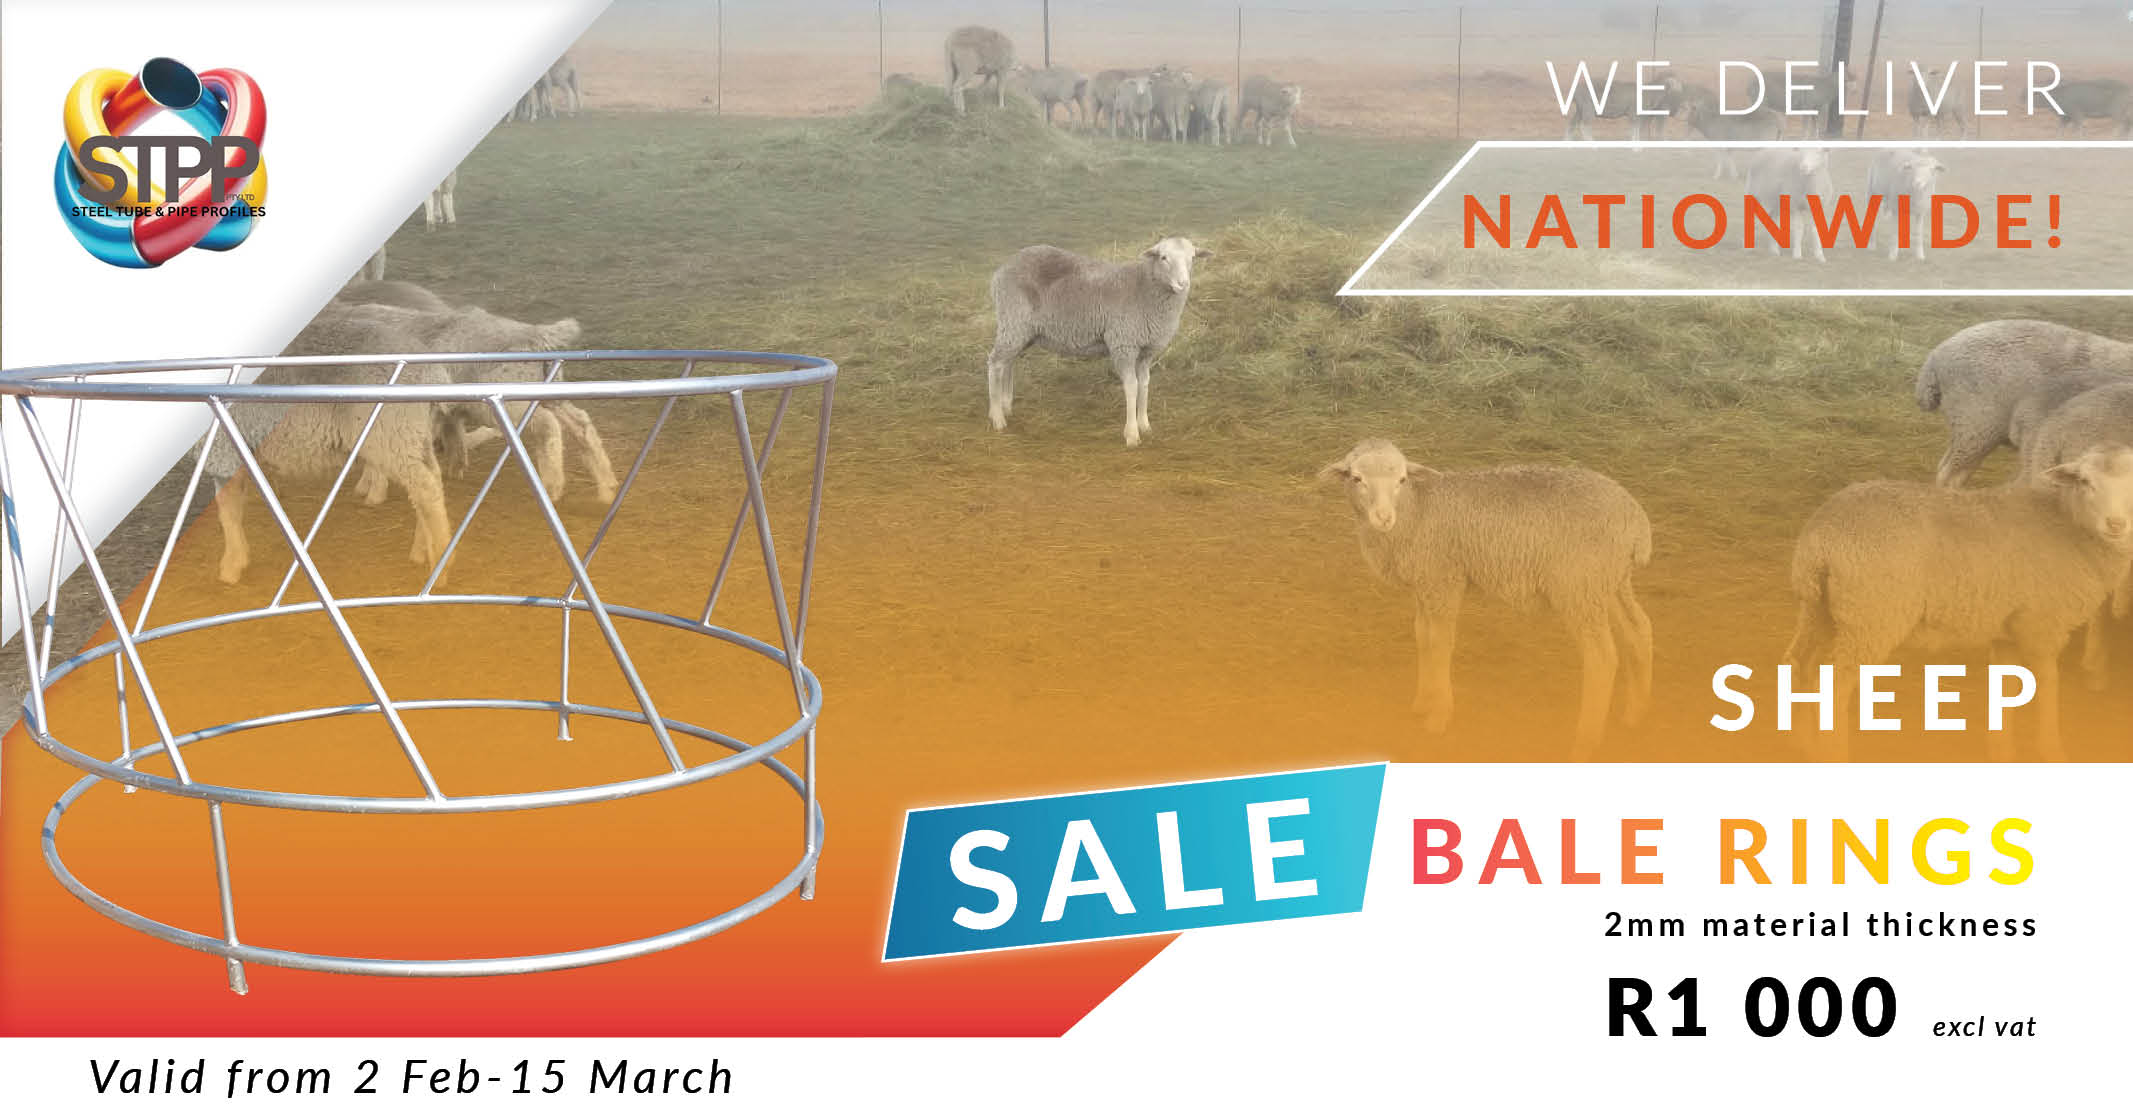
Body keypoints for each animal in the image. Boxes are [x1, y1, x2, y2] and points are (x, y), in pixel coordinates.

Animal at [986, 236, 1211, 447]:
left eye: (1192, 258)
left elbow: (1145, 384)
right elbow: (1132, 386)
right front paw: (1131, 434)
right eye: (1164, 257)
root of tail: (1002, 269)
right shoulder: (1123, 344)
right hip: (1014, 319)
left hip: (1022, 330)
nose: (1183, 284)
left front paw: (1145, 425)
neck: (1145, 288)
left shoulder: (1147, 350)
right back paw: (997, 417)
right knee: (995, 363)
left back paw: (1006, 406)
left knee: (1008, 362)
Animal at [1317, 440, 1653, 758]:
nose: (1384, 518)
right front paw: (1423, 701)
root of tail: (1636, 520)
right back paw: (1635, 715)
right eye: (1357, 478)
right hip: (1609, 582)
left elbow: (1439, 644)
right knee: (1639, 631)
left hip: (1579, 585)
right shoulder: (1426, 584)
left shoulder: (1444, 580)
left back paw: (1585, 741)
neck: (1416, 509)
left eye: (1401, 479)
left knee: (1602, 657)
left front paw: (1438, 716)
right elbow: (1422, 637)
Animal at [1782, 446, 2133, 762]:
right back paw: (1833, 754)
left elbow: (2007, 690)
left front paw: (2002, 753)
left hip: (1820, 608)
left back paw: (1803, 746)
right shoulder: (2041, 625)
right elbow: (2048, 686)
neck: (2069, 525)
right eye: (2085, 481)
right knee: (1833, 685)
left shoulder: (2007, 628)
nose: (2116, 524)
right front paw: (2052, 751)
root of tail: (1821, 540)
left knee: (1799, 664)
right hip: (1871, 618)